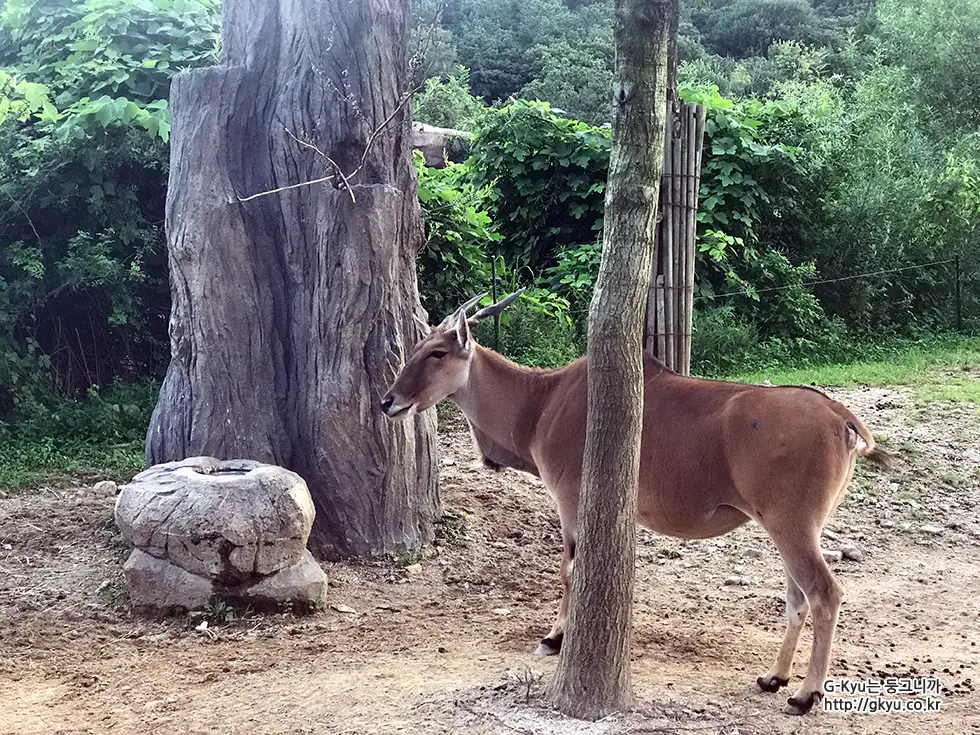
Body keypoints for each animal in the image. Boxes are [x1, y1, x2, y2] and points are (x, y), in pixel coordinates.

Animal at [380, 292, 896, 712]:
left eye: (437, 352)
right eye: (419, 348)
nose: (388, 401)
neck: (541, 401)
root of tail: (843, 418)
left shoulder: (571, 502)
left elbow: (570, 570)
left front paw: (555, 638)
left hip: (791, 525)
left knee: (824, 592)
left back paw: (805, 695)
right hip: (792, 528)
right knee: (798, 597)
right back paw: (774, 678)